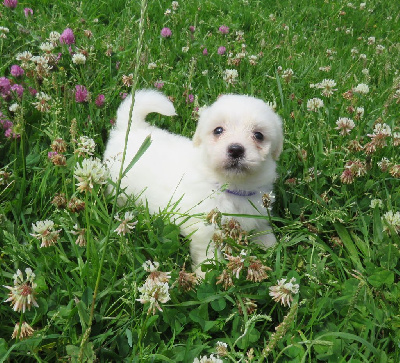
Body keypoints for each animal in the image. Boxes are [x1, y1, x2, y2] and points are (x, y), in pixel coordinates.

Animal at [104, 89, 282, 274]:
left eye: (258, 135)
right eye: (218, 130)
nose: (235, 149)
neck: (228, 186)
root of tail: (132, 129)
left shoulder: (258, 212)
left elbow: (264, 232)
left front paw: (273, 249)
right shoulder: (204, 227)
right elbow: (207, 254)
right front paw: (206, 274)